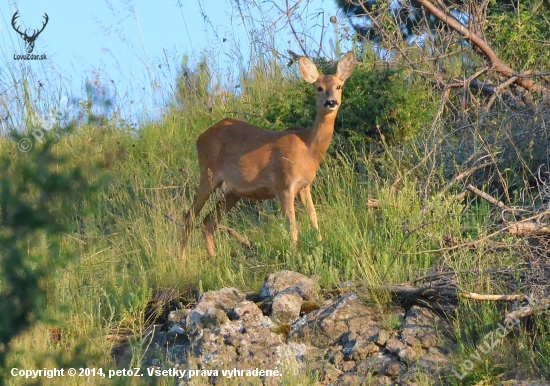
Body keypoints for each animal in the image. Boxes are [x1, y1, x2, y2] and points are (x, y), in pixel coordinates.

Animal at [183, 51, 356, 260]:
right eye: (319, 88)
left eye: (339, 86)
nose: (331, 102)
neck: (308, 149)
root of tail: (199, 138)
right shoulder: (284, 185)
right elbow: (292, 227)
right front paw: (295, 255)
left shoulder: (304, 186)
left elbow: (314, 220)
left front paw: (320, 246)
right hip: (208, 174)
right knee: (189, 217)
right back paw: (181, 260)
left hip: (232, 191)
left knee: (207, 222)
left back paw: (214, 259)